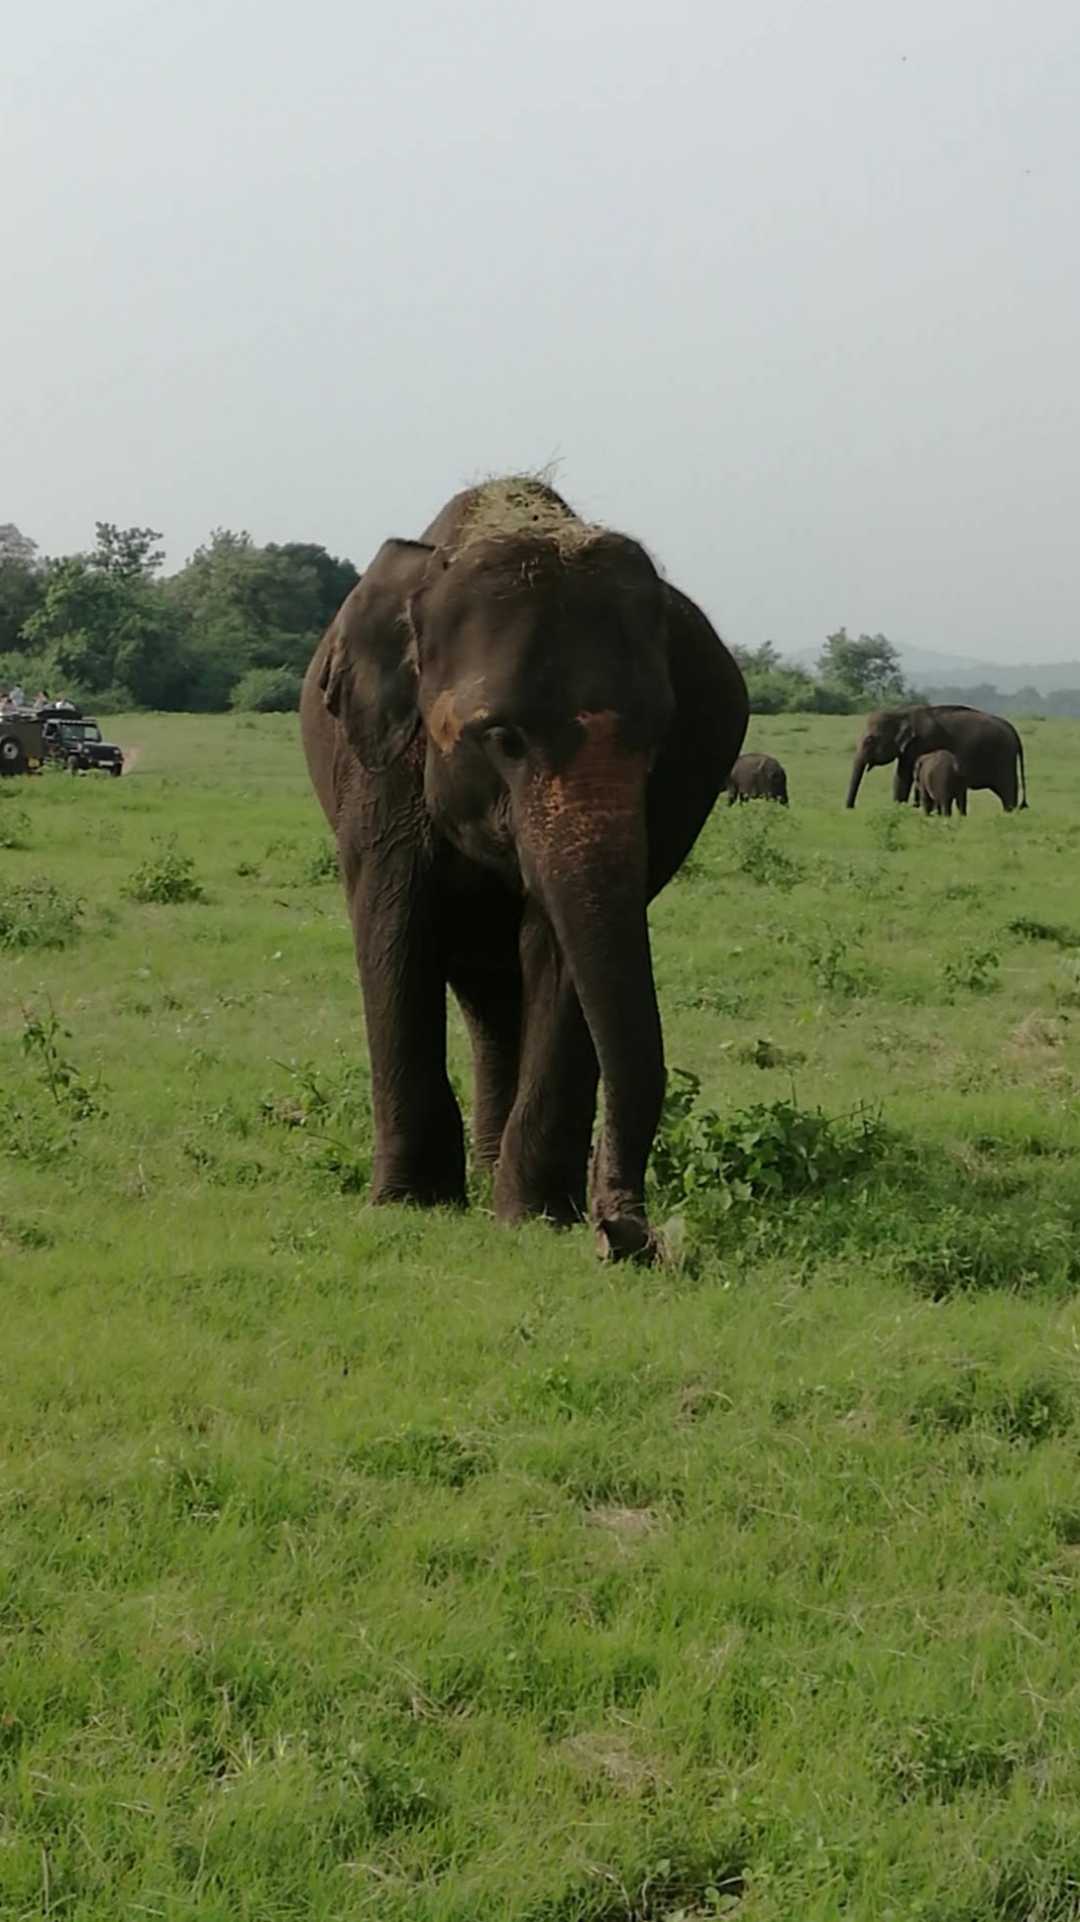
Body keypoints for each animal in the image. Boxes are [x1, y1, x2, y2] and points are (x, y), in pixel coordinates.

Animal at [301, 476, 749, 1259]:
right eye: (503, 738)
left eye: (658, 741)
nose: (628, 1234)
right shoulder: (378, 769)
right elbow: (395, 926)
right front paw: (409, 1205)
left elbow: (559, 949)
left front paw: (534, 1217)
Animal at [845, 704, 1027, 811]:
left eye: (870, 740)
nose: (851, 808)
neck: (901, 713)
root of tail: (1014, 732)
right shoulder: (908, 749)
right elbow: (901, 777)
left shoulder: (924, 742)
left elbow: (904, 777)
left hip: (1003, 758)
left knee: (1007, 789)